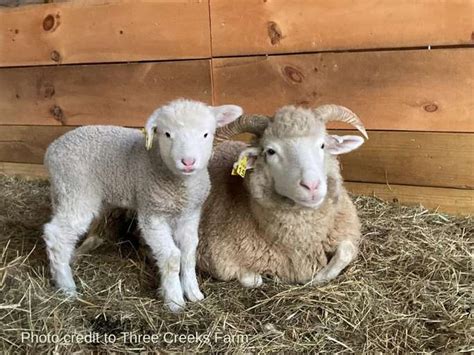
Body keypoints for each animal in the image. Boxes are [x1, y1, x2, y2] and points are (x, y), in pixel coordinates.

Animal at [41, 99, 243, 312]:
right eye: (167, 134)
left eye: (205, 134)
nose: (188, 162)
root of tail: (51, 150)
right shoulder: (152, 214)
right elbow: (172, 257)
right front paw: (174, 300)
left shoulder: (189, 215)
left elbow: (189, 253)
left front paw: (193, 292)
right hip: (77, 192)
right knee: (56, 235)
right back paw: (67, 288)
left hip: (65, 193)